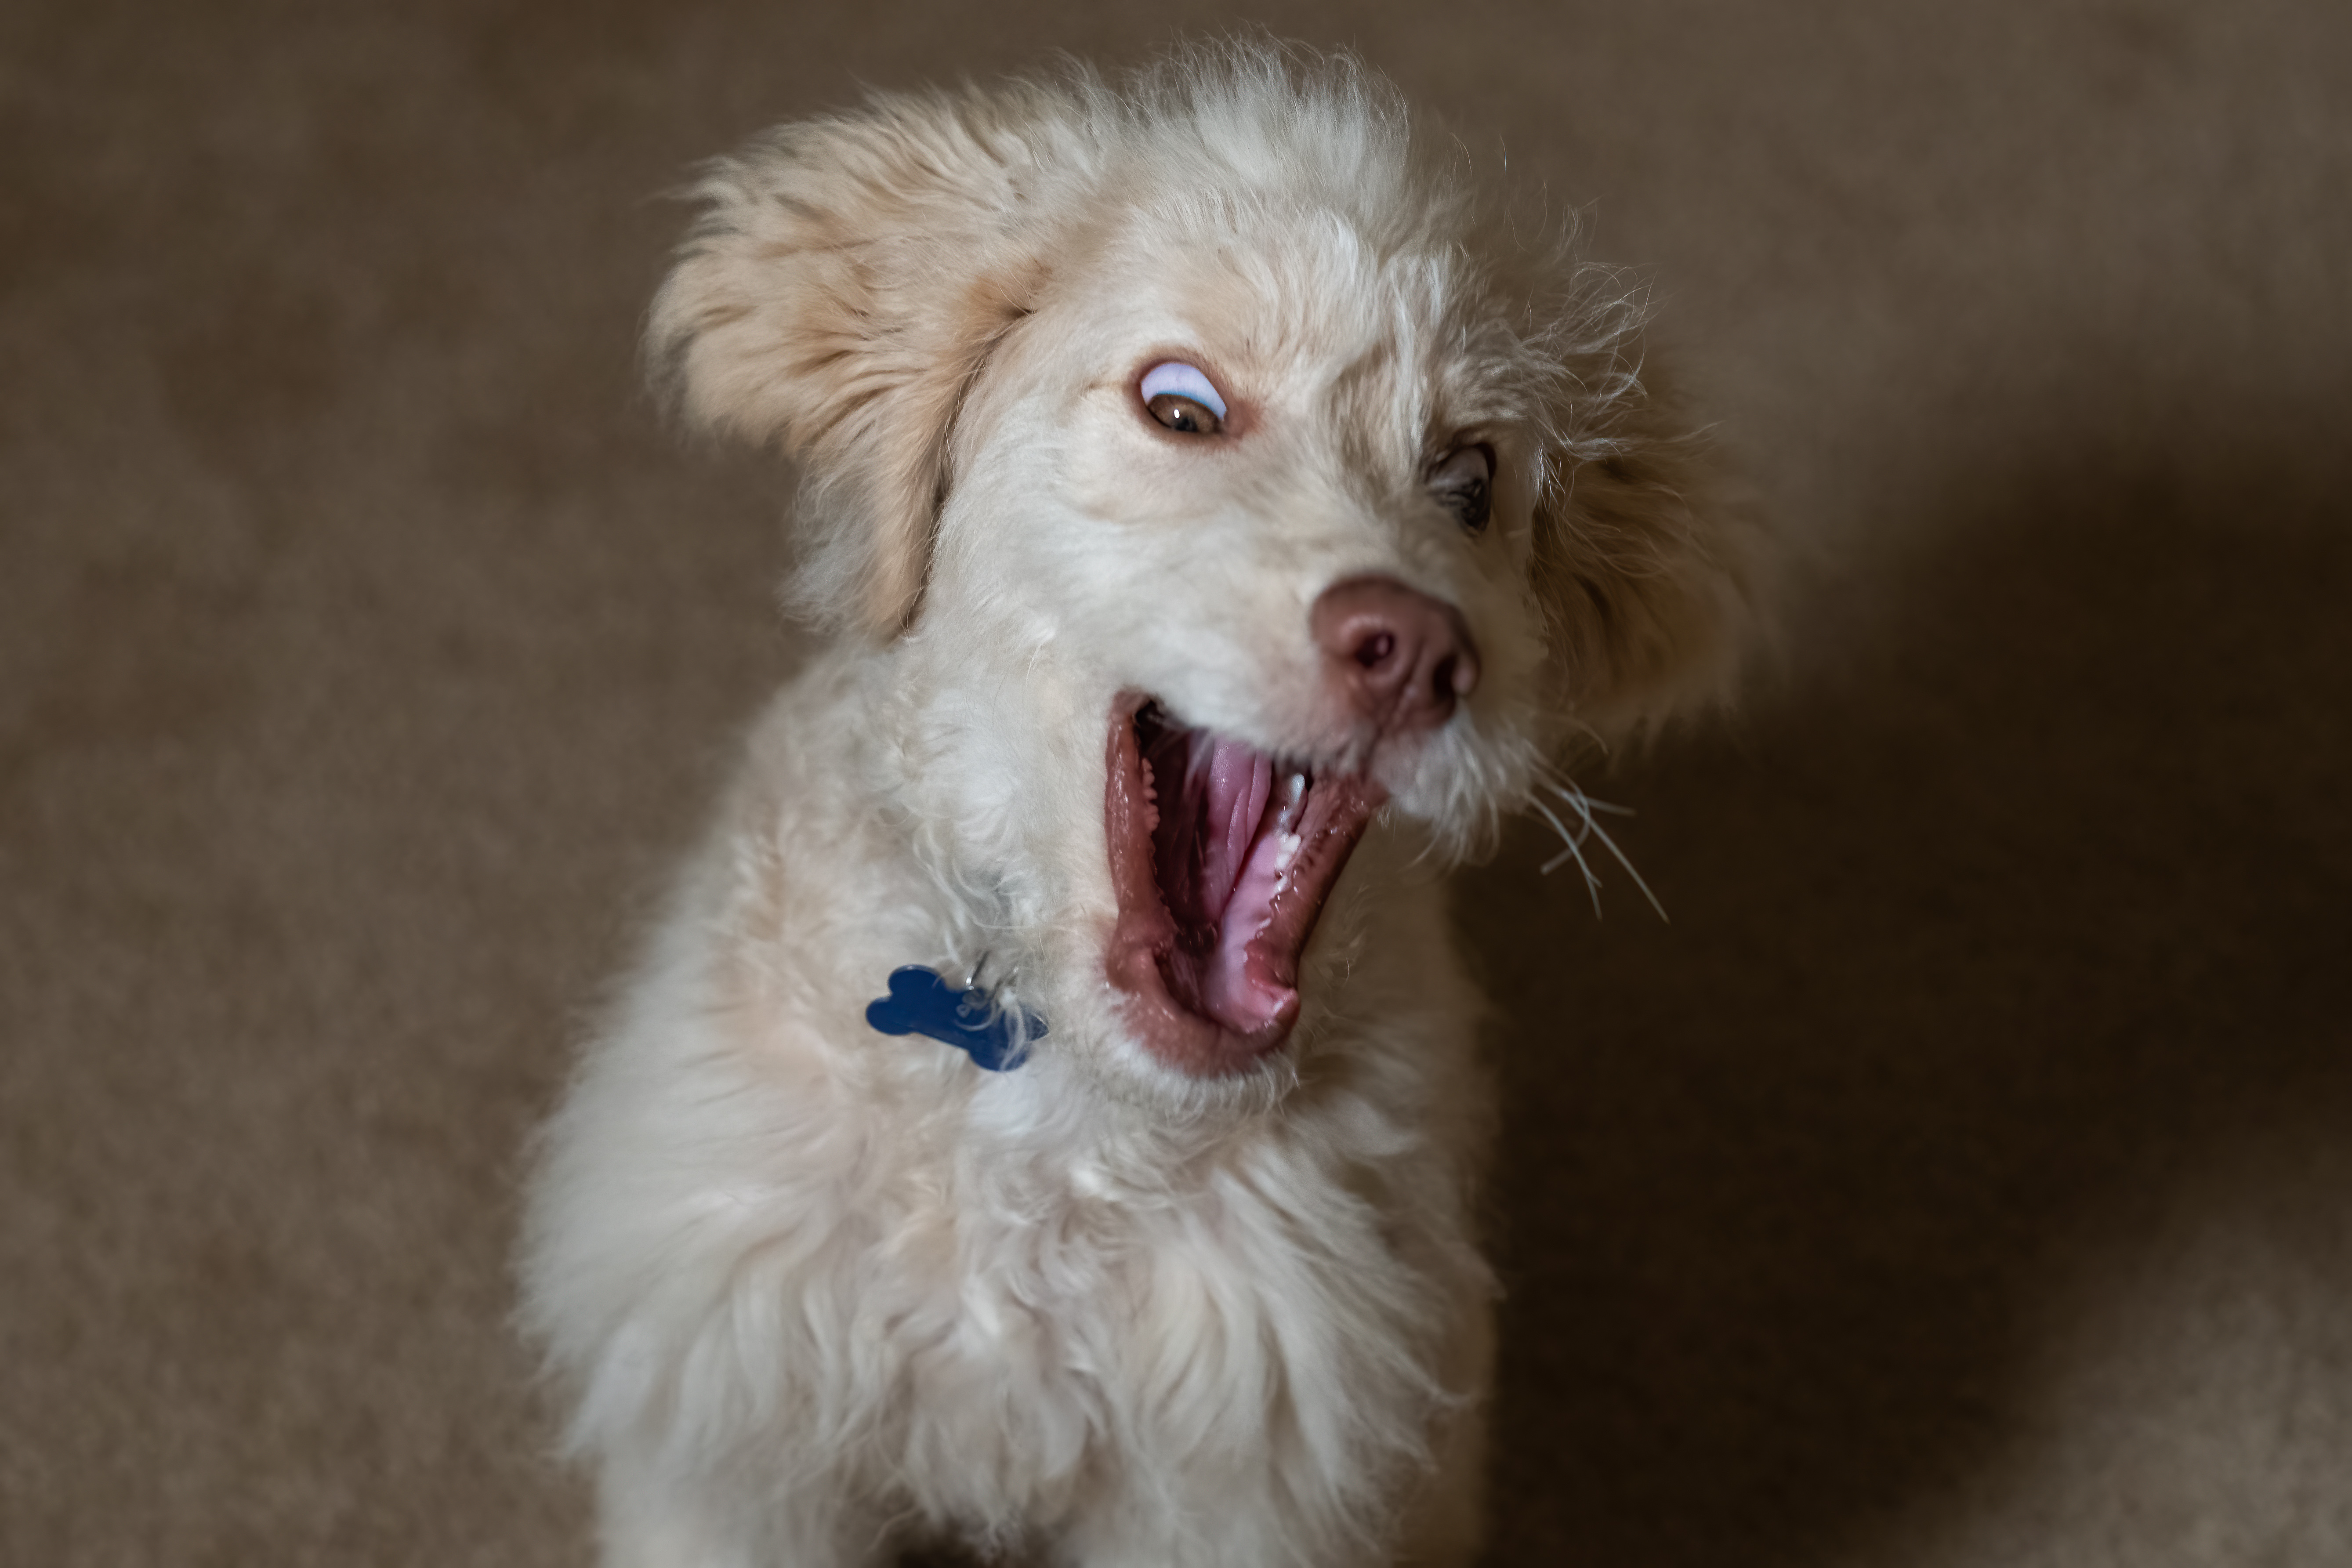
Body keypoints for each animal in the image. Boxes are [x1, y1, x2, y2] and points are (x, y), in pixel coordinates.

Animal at [520, 42, 1757, 1568]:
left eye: (1470, 484)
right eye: (1181, 408)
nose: (1417, 650)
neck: (1055, 1114)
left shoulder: (1250, 1468)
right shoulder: (736, 1429)